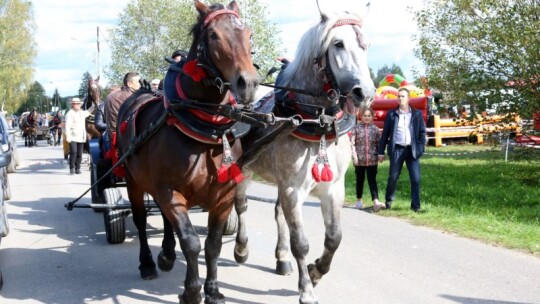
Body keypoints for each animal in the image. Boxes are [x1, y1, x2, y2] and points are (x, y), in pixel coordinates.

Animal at [115, 1, 258, 302]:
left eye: (249, 34)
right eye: (213, 35)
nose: (249, 83)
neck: (205, 129)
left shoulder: (224, 196)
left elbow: (213, 244)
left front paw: (213, 289)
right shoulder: (170, 190)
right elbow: (191, 241)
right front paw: (191, 291)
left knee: (165, 219)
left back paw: (167, 255)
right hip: (134, 181)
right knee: (141, 220)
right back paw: (148, 263)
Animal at [234, 2, 378, 304]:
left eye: (366, 44)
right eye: (338, 43)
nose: (365, 93)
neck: (316, 122)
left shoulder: (333, 187)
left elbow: (334, 237)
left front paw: (315, 271)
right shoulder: (292, 189)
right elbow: (300, 242)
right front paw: (307, 289)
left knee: (278, 213)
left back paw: (281, 258)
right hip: (244, 169)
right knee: (240, 206)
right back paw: (241, 248)